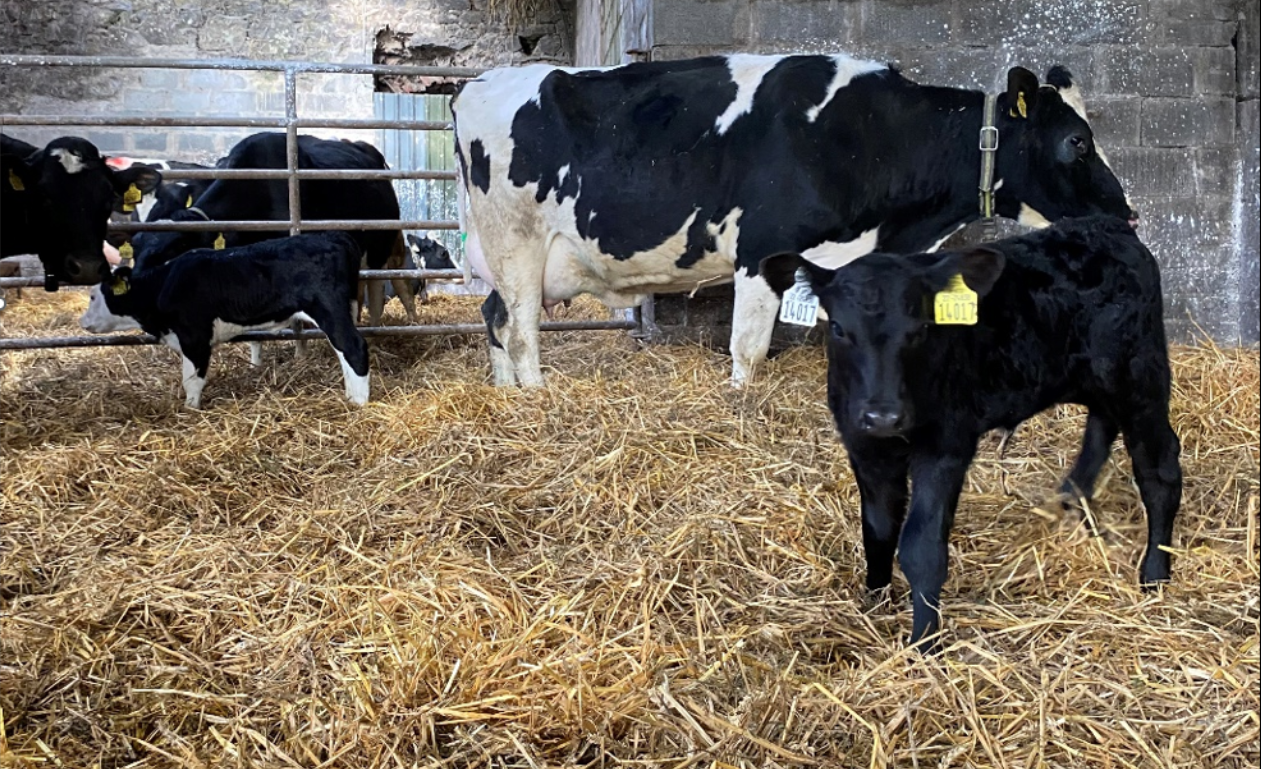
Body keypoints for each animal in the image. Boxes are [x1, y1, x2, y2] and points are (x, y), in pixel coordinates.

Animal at [79, 231, 370, 409]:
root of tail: (334, 235)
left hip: (329, 309)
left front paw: (191, 409)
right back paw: (350, 395)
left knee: (353, 347)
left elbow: (192, 379)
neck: (162, 285)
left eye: (93, 296)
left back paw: (359, 402)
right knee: (343, 352)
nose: (82, 322)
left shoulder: (195, 337)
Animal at [452, 56, 1136, 387]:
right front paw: (739, 405)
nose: (1126, 214)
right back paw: (537, 399)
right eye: (1077, 141)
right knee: (521, 330)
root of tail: (477, 84)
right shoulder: (762, 250)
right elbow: (749, 349)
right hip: (517, 244)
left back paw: (505, 395)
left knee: (494, 319)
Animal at [759, 215, 1181, 652]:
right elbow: (878, 527)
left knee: (1160, 472)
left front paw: (924, 641)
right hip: (1098, 378)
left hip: (1140, 377)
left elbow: (921, 546)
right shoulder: (863, 445)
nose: (883, 415)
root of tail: (1105, 225)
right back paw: (1070, 497)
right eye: (839, 328)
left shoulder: (946, 445)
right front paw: (874, 600)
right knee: (1101, 426)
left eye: (920, 328)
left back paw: (1155, 573)